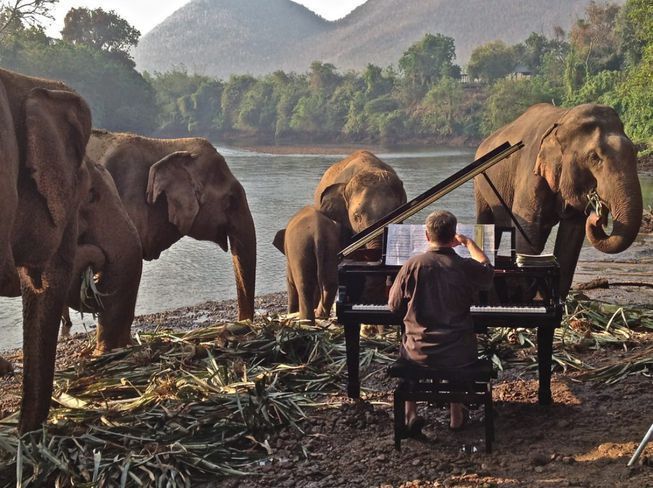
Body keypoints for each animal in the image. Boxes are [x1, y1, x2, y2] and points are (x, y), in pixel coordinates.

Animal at [474, 103, 643, 298]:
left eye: (635, 151)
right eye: (594, 157)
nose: (598, 215)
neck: (562, 119)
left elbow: (571, 236)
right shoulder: (530, 170)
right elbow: (527, 227)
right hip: (480, 186)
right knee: (486, 220)